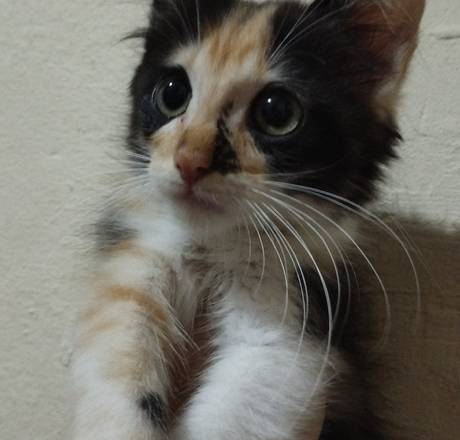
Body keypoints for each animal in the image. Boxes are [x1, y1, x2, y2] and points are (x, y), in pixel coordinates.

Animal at [71, 0, 425, 439]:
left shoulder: (294, 327)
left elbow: (241, 408)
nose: (189, 162)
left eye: (278, 113)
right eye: (172, 94)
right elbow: (120, 384)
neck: (212, 248)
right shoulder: (132, 278)